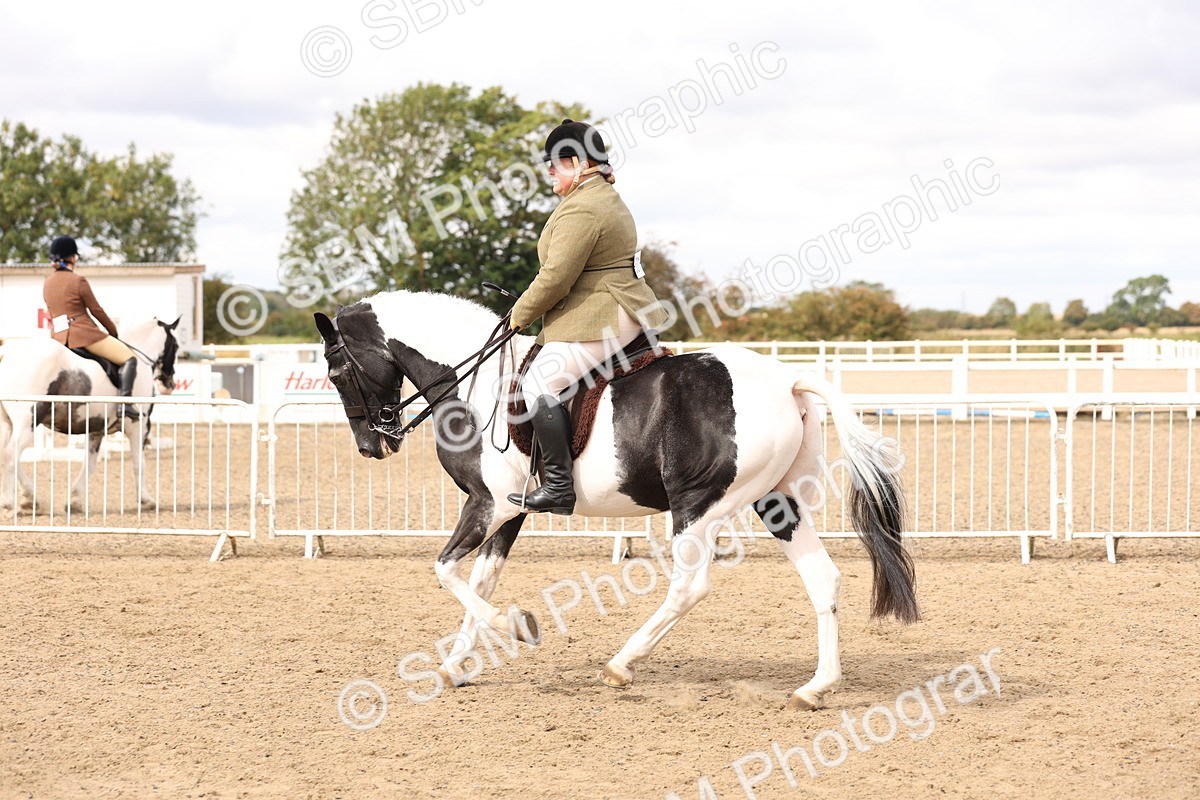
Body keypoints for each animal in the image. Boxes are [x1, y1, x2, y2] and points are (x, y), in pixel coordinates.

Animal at [0, 318, 180, 513]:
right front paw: (146, 500)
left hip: (9, 423)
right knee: (10, 455)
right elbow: (139, 463)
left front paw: (74, 500)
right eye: (176, 345)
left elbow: (90, 464)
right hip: (29, 421)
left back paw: (31, 498)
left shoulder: (97, 428)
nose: (169, 385)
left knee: (8, 455)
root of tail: (6, 353)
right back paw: (10, 503)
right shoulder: (138, 425)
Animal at [314, 291, 917, 711]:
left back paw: (622, 663)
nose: (372, 445)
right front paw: (455, 666)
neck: (476, 386)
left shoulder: (489, 505)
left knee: (690, 586)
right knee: (823, 579)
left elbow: (445, 571)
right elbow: (479, 581)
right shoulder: (511, 511)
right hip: (777, 503)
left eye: (337, 371)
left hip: (699, 505)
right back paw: (815, 688)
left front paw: (519, 626)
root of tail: (787, 381)